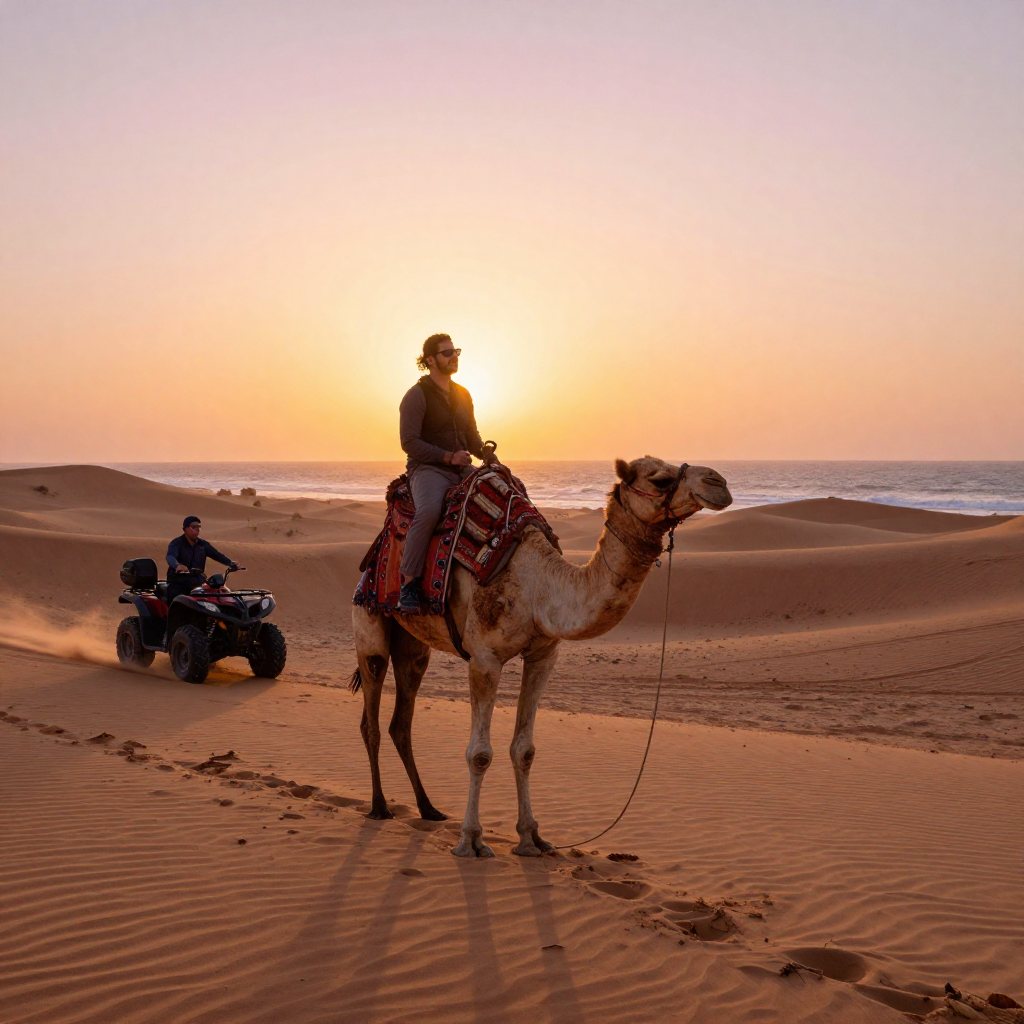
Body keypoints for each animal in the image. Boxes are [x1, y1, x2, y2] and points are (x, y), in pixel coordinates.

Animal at [351, 456, 733, 858]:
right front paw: (470, 840)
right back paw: (379, 806)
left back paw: (428, 808)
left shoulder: (543, 655)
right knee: (372, 713)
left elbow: (525, 750)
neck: (540, 587)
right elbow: (479, 754)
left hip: (413, 644)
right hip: (370, 623)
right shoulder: (485, 658)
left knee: (402, 720)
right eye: (659, 479)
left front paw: (531, 837)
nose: (718, 483)